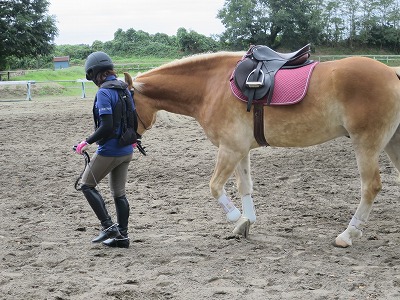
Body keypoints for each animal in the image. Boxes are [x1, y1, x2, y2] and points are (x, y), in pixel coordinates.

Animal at [123, 52, 400, 248]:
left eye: (123, 103)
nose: (128, 140)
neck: (212, 86)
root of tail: (392, 73)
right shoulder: (240, 150)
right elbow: (244, 186)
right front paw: (245, 222)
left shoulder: (230, 149)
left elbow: (215, 187)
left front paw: (236, 217)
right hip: (390, 143)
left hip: (366, 144)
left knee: (371, 186)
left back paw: (348, 234)